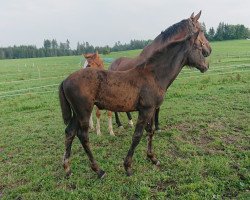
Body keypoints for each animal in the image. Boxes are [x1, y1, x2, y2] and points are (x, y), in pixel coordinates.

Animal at [58, 12, 211, 178]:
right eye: (198, 47)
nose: (206, 65)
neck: (153, 74)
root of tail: (65, 80)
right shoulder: (146, 109)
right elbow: (137, 136)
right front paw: (128, 166)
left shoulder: (151, 110)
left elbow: (150, 131)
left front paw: (153, 158)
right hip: (84, 111)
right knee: (83, 136)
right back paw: (99, 170)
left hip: (76, 113)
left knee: (70, 132)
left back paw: (67, 168)